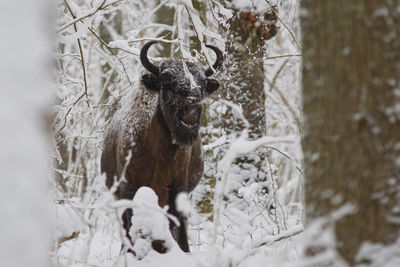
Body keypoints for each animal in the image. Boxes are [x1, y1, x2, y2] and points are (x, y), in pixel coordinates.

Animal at [100, 40, 223, 254]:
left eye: (202, 83)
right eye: (167, 80)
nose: (191, 107)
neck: (163, 152)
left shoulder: (178, 188)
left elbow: (179, 224)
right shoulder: (129, 188)